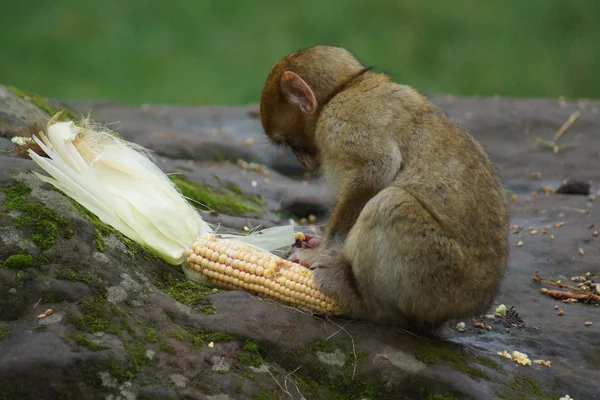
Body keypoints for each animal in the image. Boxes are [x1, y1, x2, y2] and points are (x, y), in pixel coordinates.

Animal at [258, 45, 510, 332]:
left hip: (438, 280)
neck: (346, 86)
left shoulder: (341, 120)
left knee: (390, 203)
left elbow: (377, 169)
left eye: (290, 143)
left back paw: (363, 303)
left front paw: (322, 249)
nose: (304, 162)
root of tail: (474, 303)